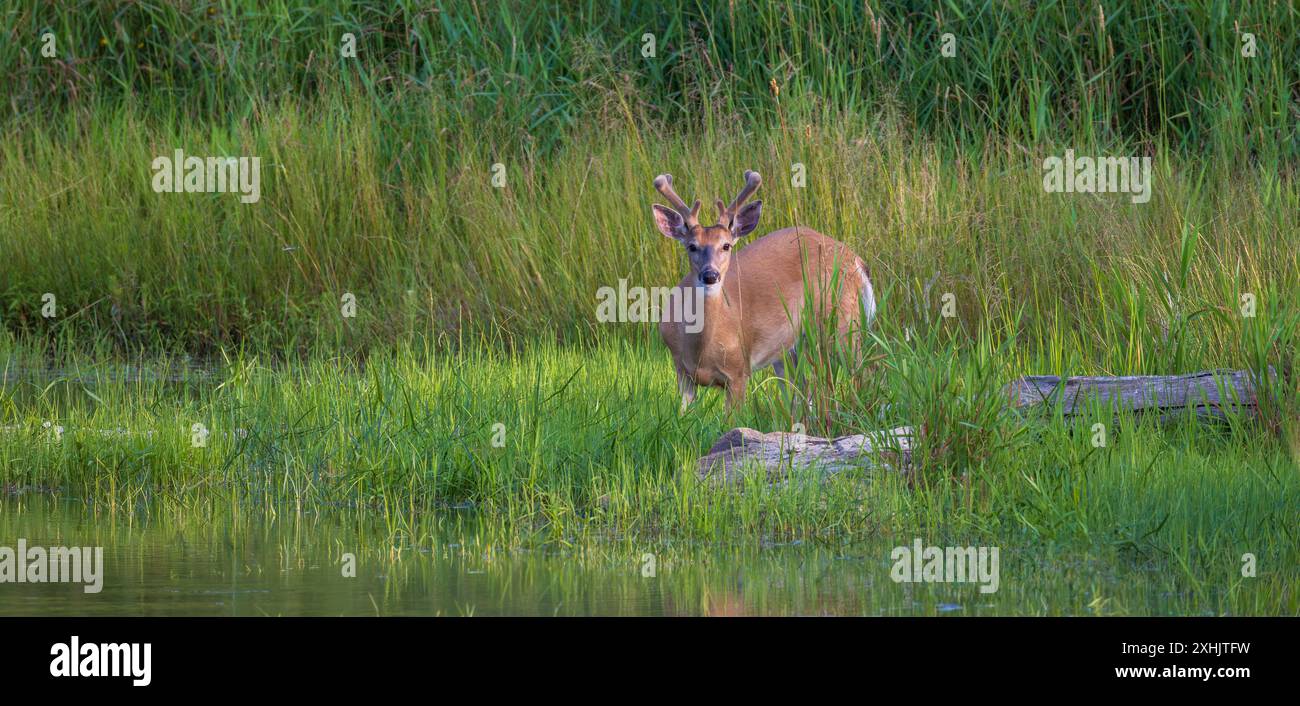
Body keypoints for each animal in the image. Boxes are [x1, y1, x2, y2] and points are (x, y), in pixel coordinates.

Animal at [655, 171, 878, 410]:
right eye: (692, 246)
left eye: (726, 245)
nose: (710, 275)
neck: (700, 351)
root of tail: (855, 259)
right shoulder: (682, 372)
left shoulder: (739, 370)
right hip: (788, 349)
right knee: (803, 392)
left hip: (843, 322)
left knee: (866, 374)